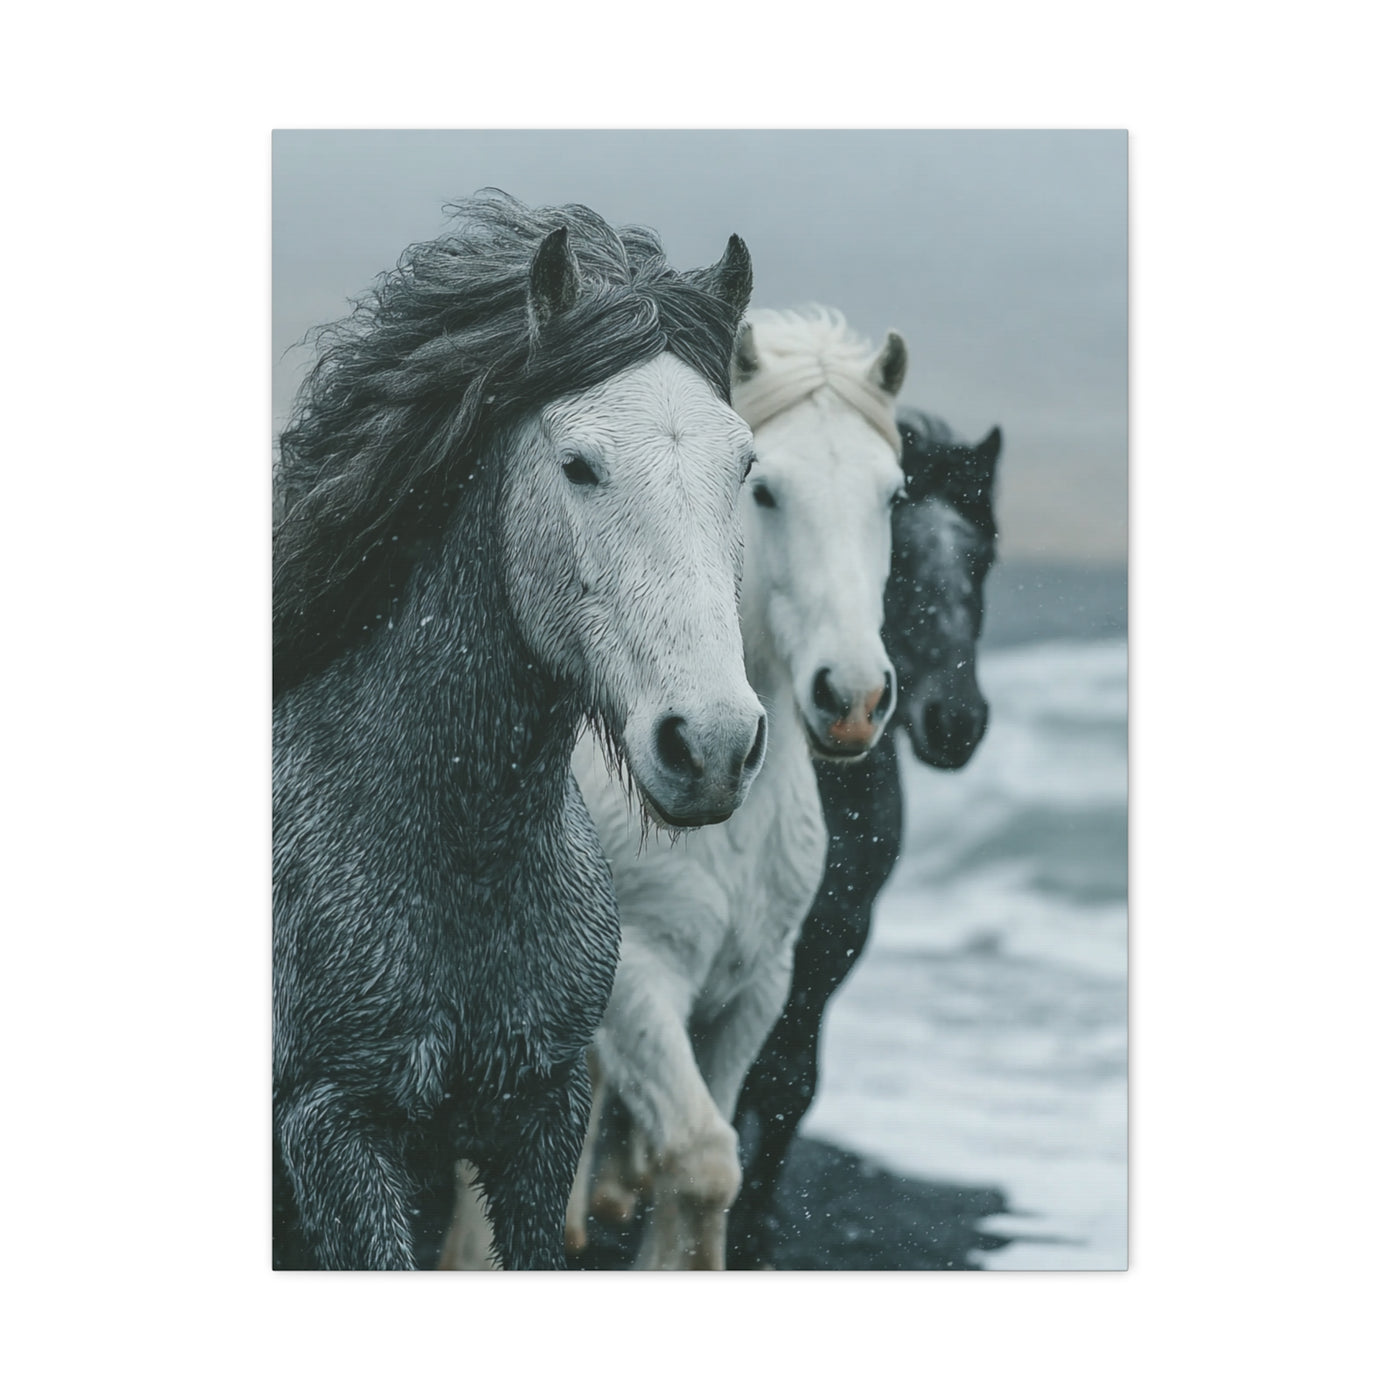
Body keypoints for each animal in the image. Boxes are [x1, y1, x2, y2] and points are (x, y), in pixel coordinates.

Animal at [557, 306, 909, 1269]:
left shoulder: (754, 992)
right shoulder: (637, 982)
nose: (853, 698)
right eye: (768, 490)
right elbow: (705, 1158)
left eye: (892, 495)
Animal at [726, 409, 1002, 1268]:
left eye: (981, 561)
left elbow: (787, 1087)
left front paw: (752, 1230)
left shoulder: (835, 937)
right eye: (899, 559)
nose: (955, 721)